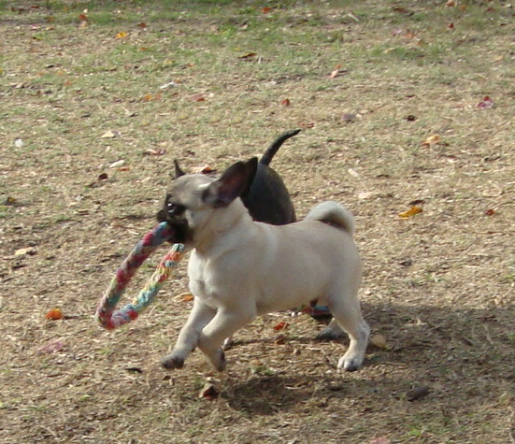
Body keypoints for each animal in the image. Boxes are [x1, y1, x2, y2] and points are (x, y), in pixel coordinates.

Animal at [161, 158, 370, 372]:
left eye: (172, 206)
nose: (159, 214)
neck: (209, 251)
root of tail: (341, 230)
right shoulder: (205, 305)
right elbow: (188, 330)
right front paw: (176, 356)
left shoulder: (235, 311)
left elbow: (206, 336)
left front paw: (216, 358)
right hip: (331, 296)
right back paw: (333, 329)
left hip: (339, 297)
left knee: (361, 330)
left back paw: (352, 357)